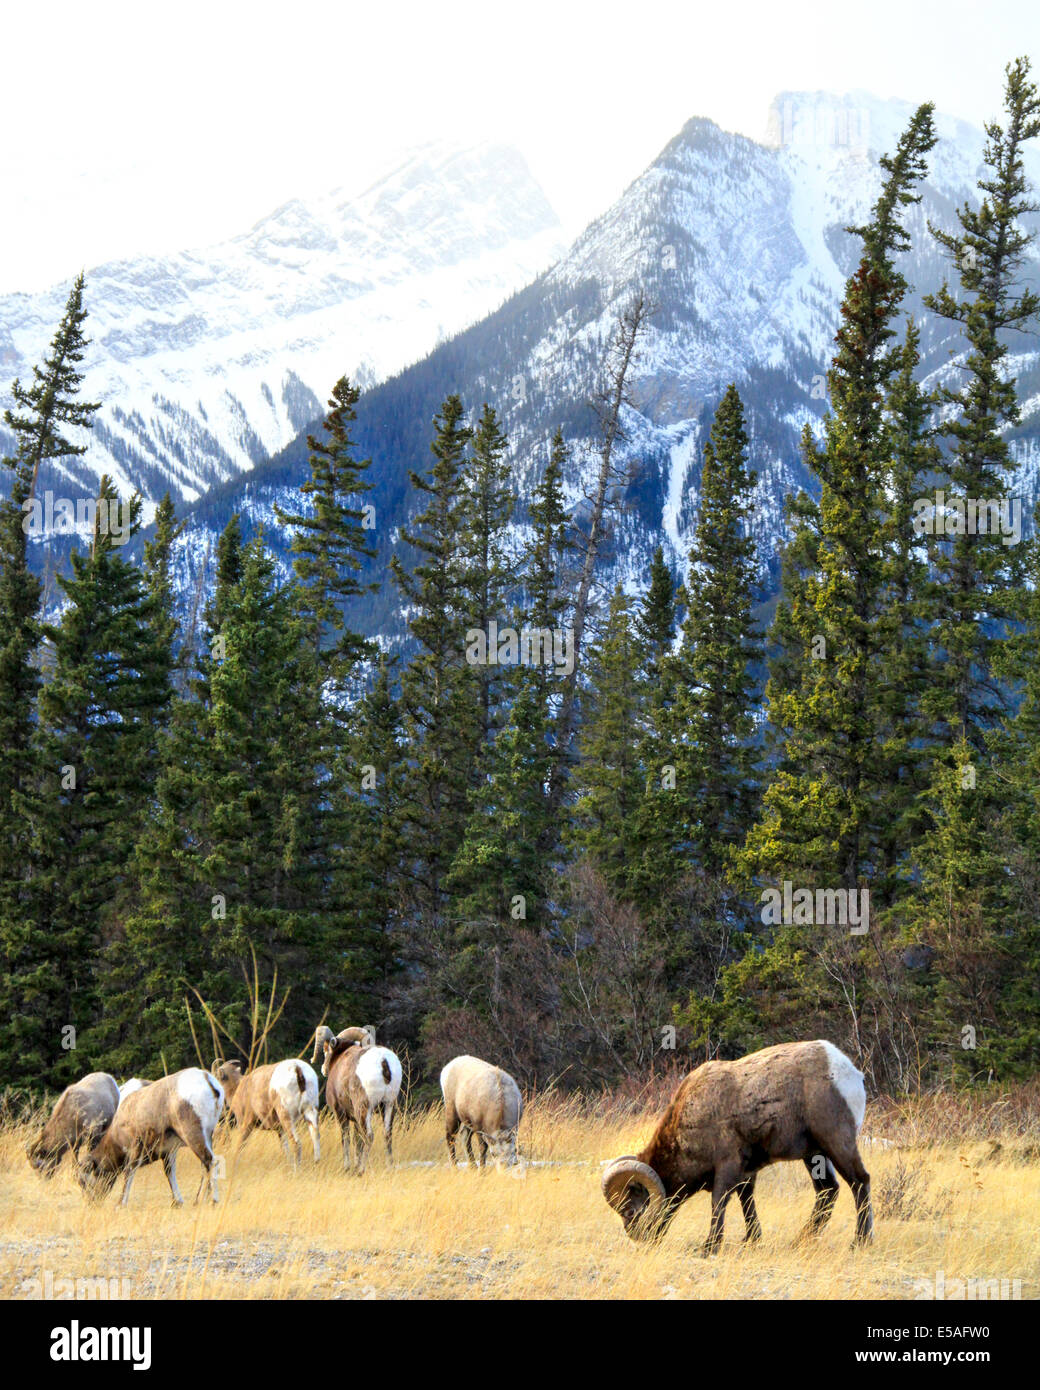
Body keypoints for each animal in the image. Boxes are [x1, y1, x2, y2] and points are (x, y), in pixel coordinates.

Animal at [77, 1061, 225, 1206]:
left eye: (84, 1182)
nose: (91, 1203)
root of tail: (207, 1079)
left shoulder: (135, 1150)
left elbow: (129, 1172)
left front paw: (120, 1204)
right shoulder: (170, 1151)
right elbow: (169, 1172)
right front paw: (177, 1202)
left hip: (193, 1136)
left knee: (210, 1162)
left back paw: (211, 1200)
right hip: (207, 1136)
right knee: (205, 1165)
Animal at [308, 1023, 403, 1173]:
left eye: (326, 1049)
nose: (323, 1069)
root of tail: (384, 1062)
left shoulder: (340, 1113)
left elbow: (345, 1138)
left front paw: (347, 1168)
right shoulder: (355, 1119)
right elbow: (357, 1140)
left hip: (364, 1108)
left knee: (369, 1136)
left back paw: (360, 1171)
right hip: (389, 1105)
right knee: (387, 1134)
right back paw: (389, 1167)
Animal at [597, 1039, 873, 1256]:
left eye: (630, 1211)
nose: (637, 1238)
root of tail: (849, 1072)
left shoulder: (728, 1166)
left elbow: (719, 1203)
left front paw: (709, 1247)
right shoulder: (747, 1172)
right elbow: (746, 1202)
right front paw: (752, 1240)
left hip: (837, 1143)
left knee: (859, 1181)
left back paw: (860, 1242)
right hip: (815, 1155)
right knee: (828, 1191)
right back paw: (800, 1241)